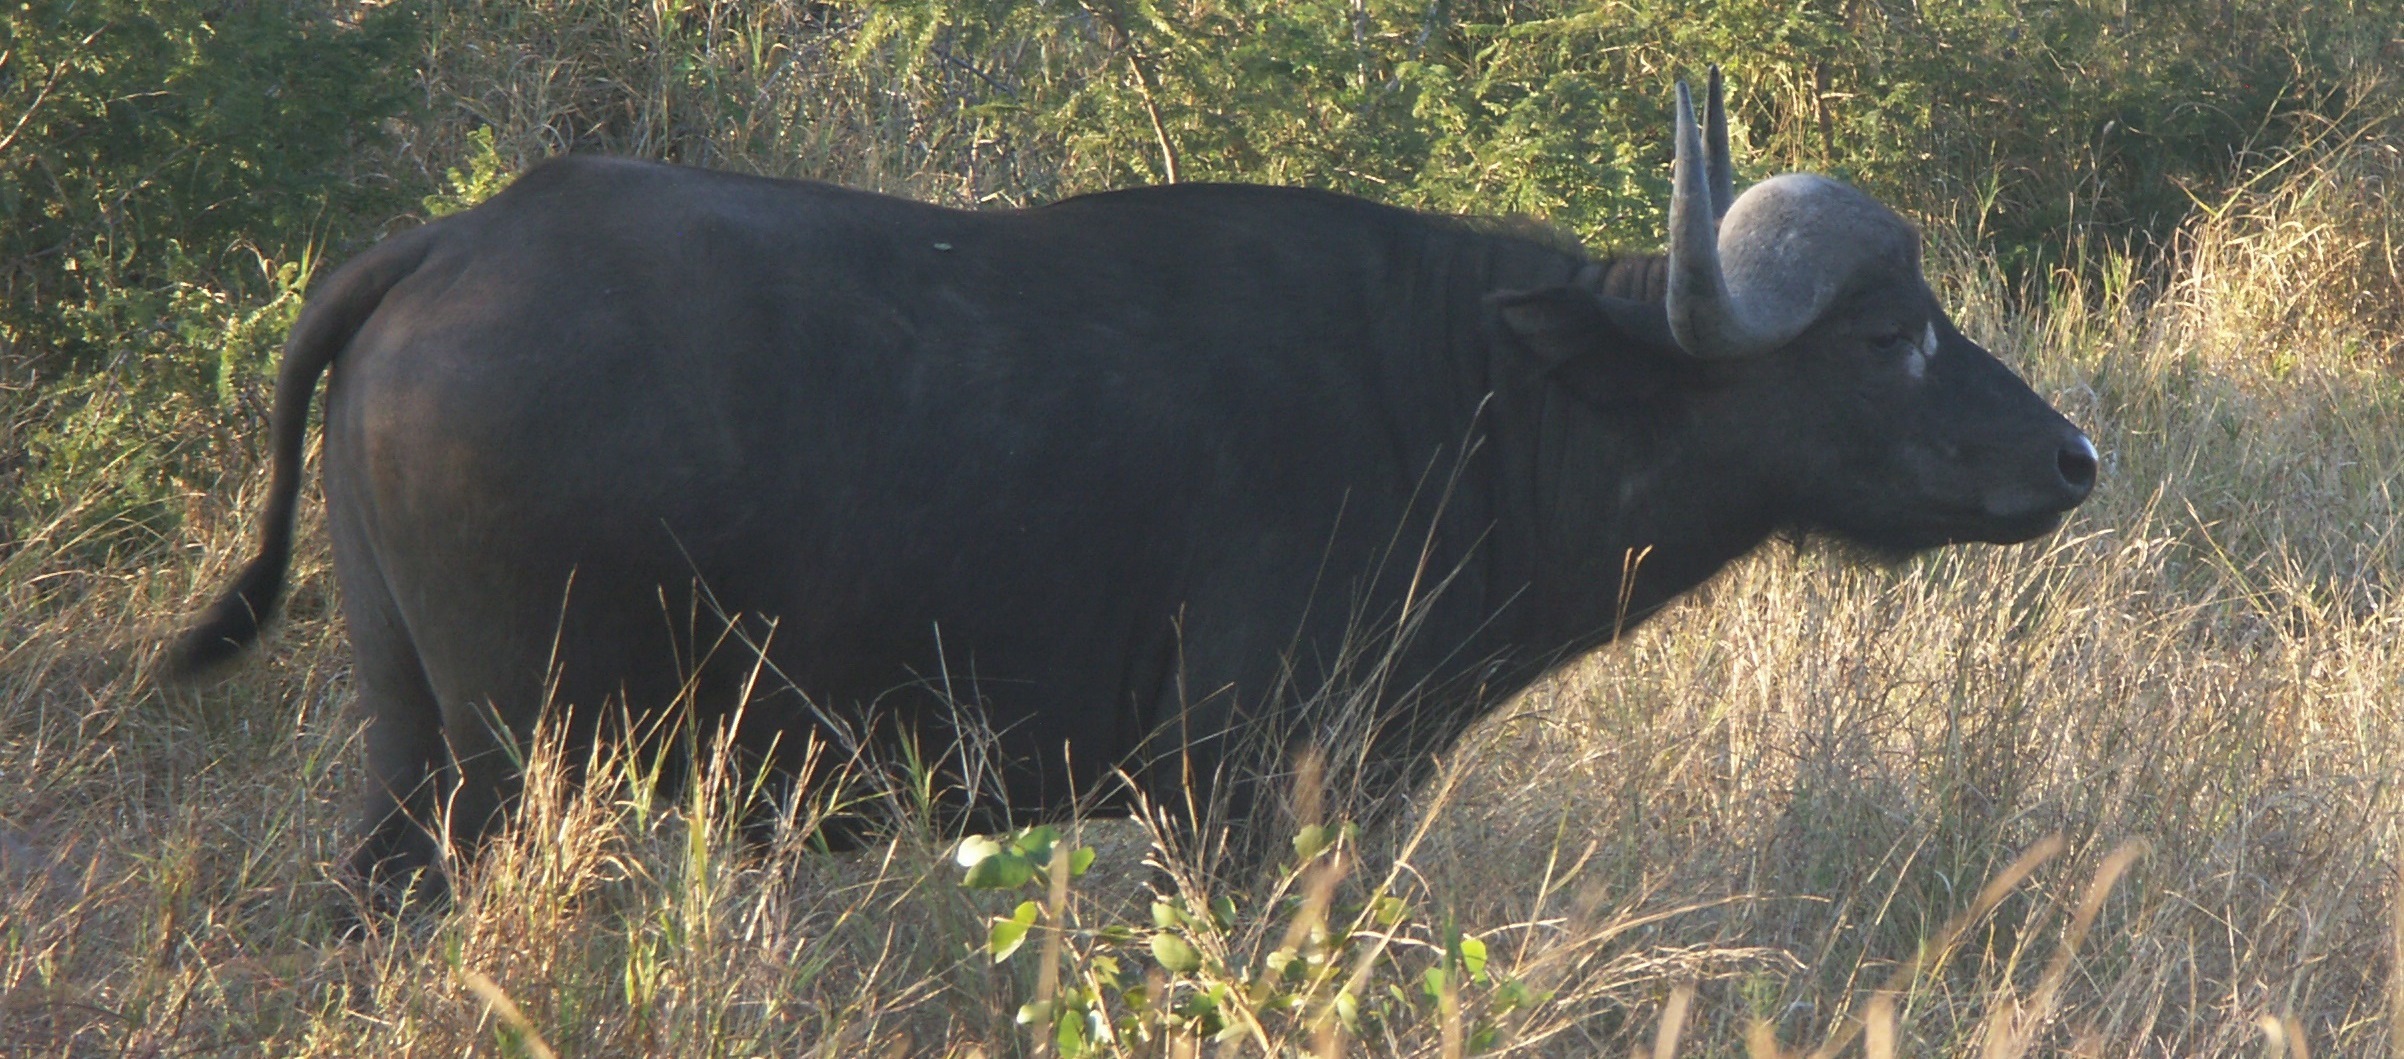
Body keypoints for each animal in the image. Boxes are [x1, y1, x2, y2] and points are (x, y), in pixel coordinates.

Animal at [174, 70, 2086, 902]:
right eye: (1888, 333)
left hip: (410, 734)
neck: (1467, 398)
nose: (2071, 454)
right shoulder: (1238, 789)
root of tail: (450, 248)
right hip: (521, 748)